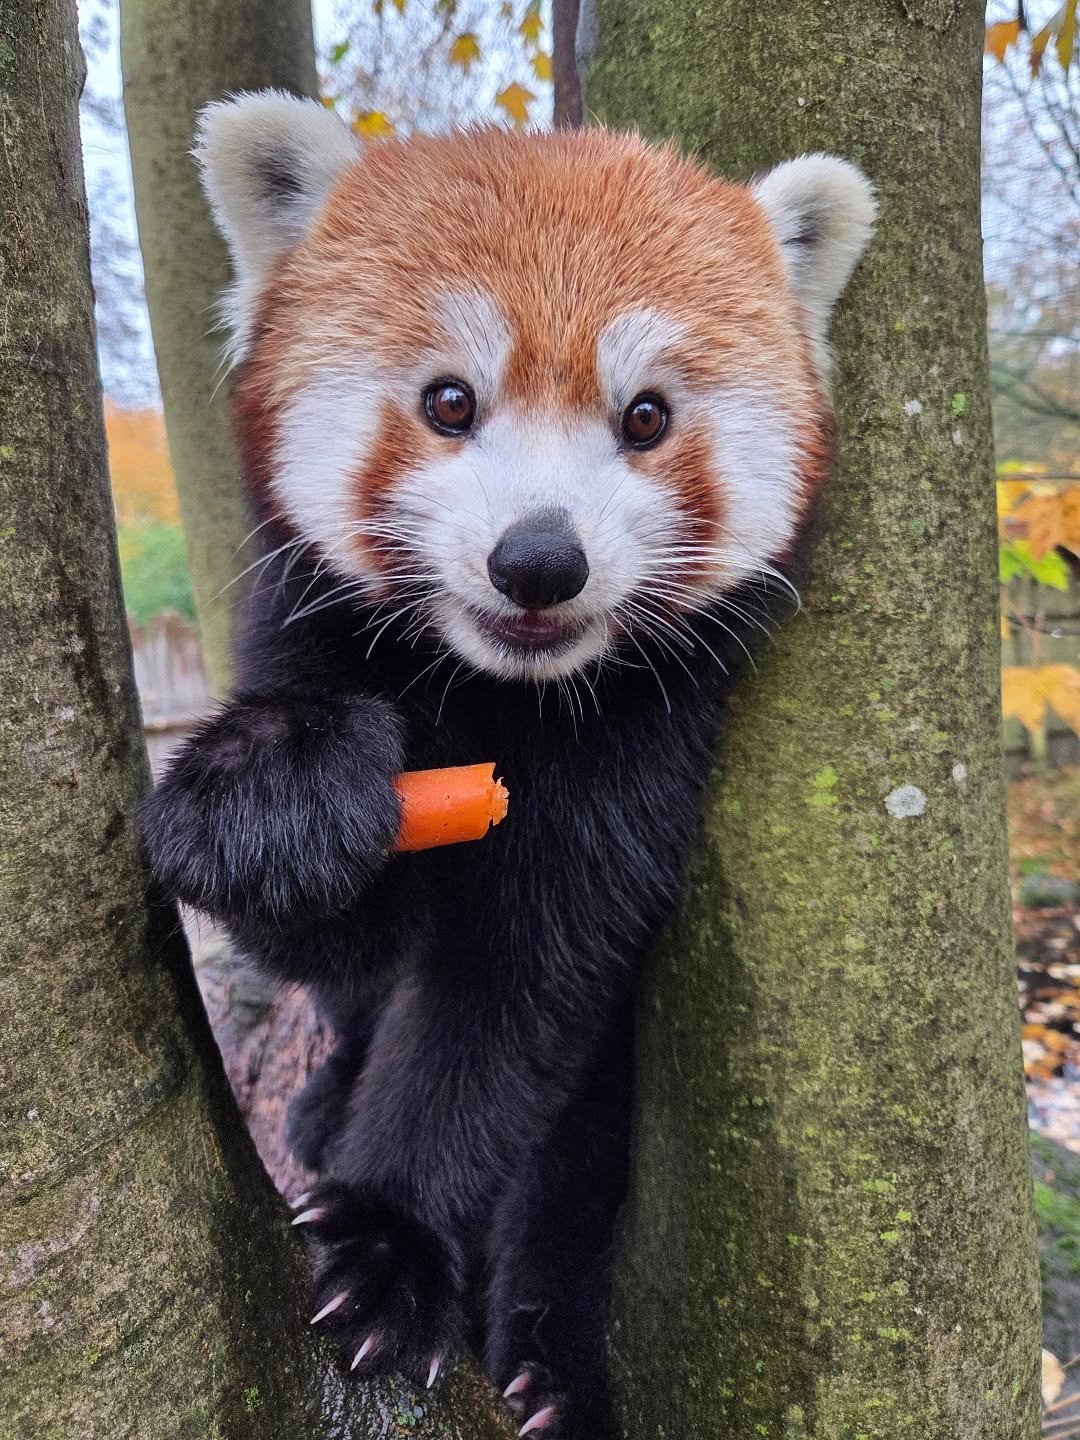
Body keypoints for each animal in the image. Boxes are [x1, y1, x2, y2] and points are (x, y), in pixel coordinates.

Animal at [139, 91, 874, 1440]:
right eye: (448, 401)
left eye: (646, 416)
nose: (539, 561)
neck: (499, 693)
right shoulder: (310, 629)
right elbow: (341, 939)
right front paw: (277, 792)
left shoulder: (638, 752)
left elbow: (516, 994)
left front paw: (391, 1248)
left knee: (576, 1155)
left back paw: (549, 1360)